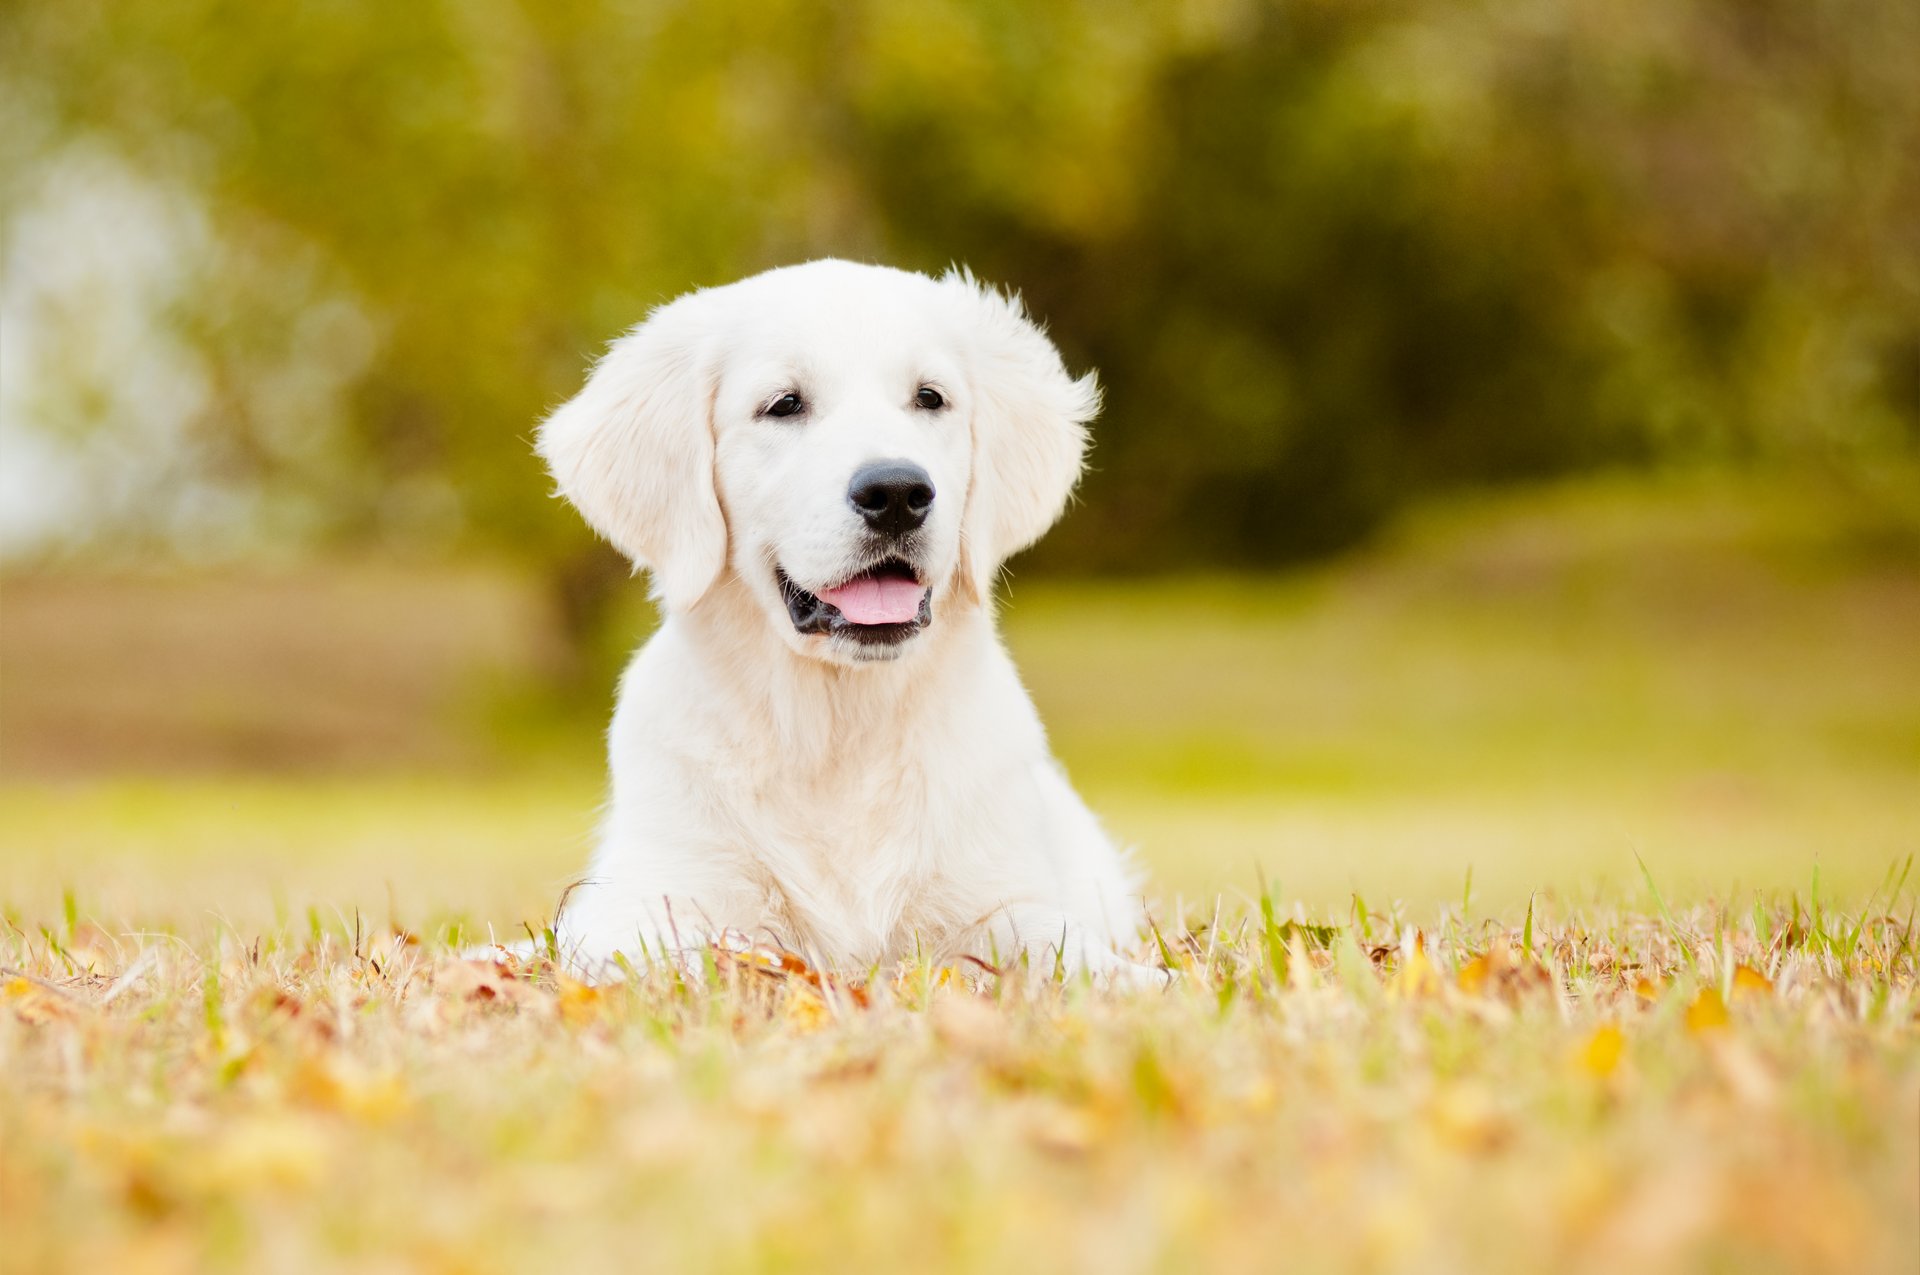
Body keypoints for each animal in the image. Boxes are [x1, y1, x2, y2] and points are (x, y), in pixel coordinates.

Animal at [537, 253, 1152, 979]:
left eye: (930, 398)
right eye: (784, 404)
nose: (897, 492)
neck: (838, 729)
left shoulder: (999, 896)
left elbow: (1062, 948)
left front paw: (1142, 979)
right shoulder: (657, 895)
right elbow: (683, 951)